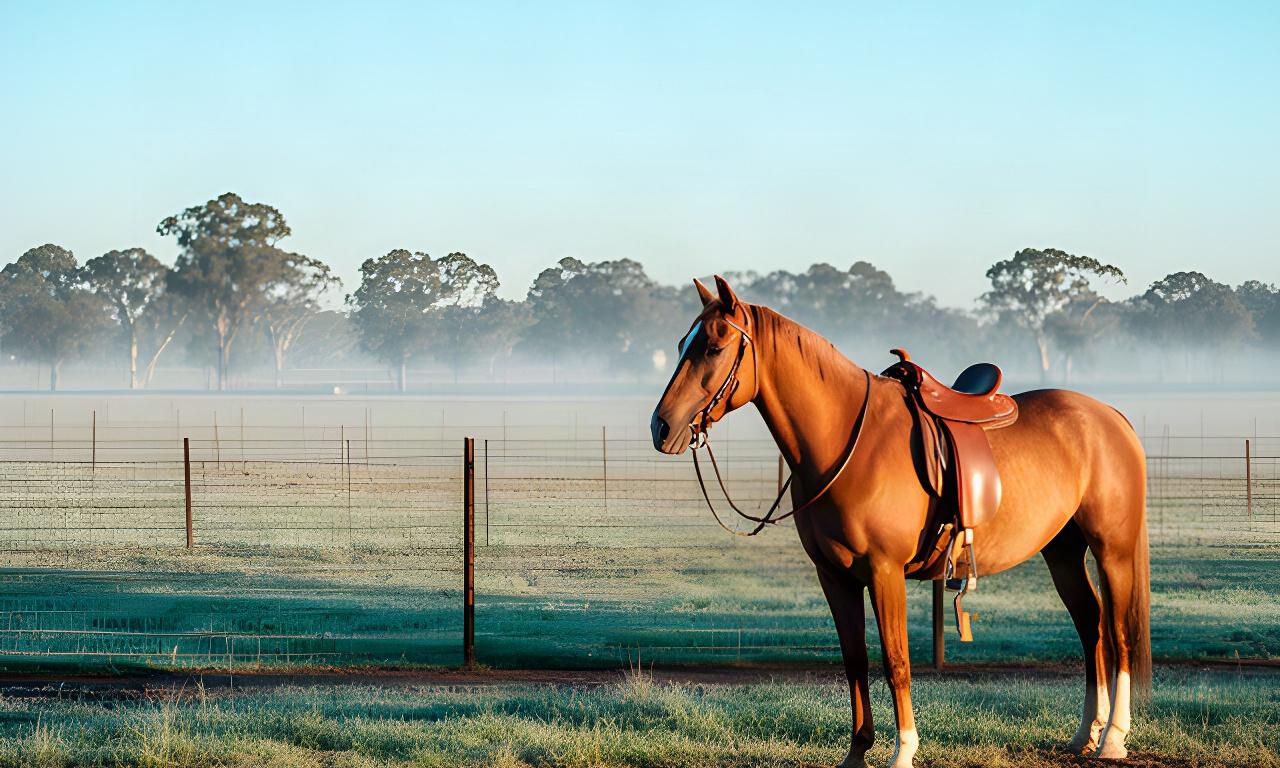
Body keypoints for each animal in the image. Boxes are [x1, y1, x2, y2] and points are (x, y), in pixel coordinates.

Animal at [650, 276, 1150, 768]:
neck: (846, 444)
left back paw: (1113, 737)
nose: (662, 427)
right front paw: (857, 752)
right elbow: (855, 660)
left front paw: (903, 751)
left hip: (1112, 549)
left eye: (715, 347)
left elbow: (895, 660)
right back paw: (1085, 733)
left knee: (1119, 633)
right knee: (1091, 624)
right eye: (680, 343)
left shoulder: (884, 571)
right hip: (1063, 551)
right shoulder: (835, 577)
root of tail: (1110, 417)